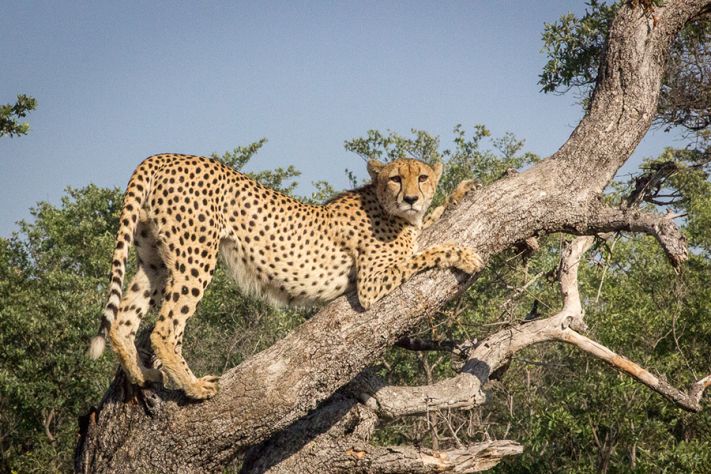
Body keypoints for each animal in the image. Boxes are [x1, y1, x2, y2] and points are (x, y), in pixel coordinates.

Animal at [86, 154, 482, 398]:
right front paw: (464, 254)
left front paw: (463, 191)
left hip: (153, 260)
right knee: (165, 329)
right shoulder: (369, 284)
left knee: (122, 319)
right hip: (195, 258)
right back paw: (194, 387)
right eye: (396, 178)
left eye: (423, 177)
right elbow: (425, 253)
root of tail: (164, 156)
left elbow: (432, 224)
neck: (390, 210)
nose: (412, 198)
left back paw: (143, 375)